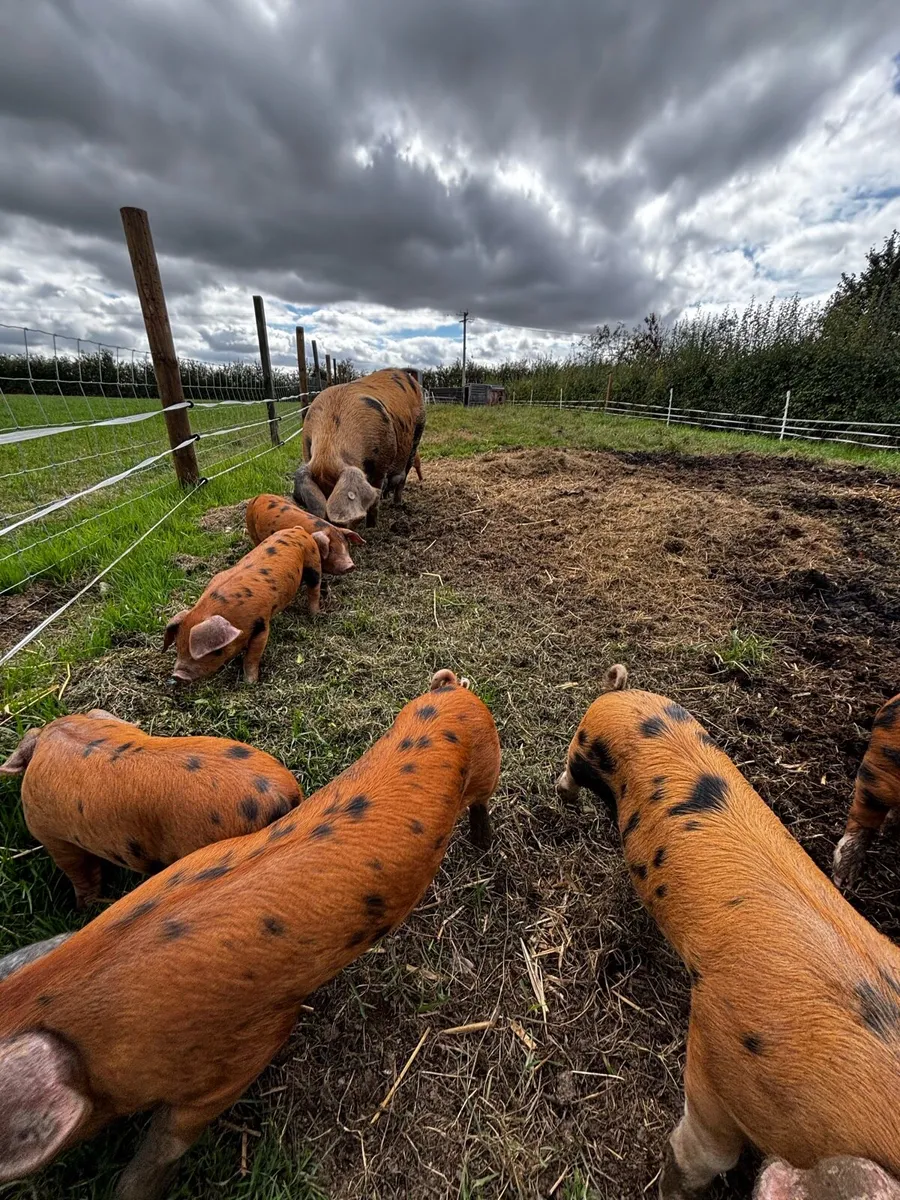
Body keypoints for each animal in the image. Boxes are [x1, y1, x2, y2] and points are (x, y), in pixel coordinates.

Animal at [164, 525, 328, 685]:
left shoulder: (261, 624)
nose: (178, 675)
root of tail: (298, 530)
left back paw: (315, 615)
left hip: (313, 562)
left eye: (217, 651)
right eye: (177, 645)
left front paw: (250, 682)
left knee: (314, 588)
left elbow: (252, 656)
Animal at [293, 367, 426, 528]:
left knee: (404, 473)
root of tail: (402, 371)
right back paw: (386, 497)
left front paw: (372, 526)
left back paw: (397, 503)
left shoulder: (382, 464)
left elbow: (375, 498)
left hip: (418, 431)